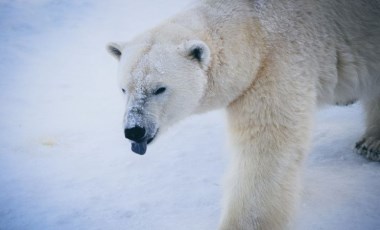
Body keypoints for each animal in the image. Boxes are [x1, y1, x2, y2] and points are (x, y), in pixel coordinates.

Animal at [107, 0, 380, 229]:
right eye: (123, 89)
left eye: (159, 88)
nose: (134, 130)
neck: (254, 30)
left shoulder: (278, 64)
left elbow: (266, 149)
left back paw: (371, 143)